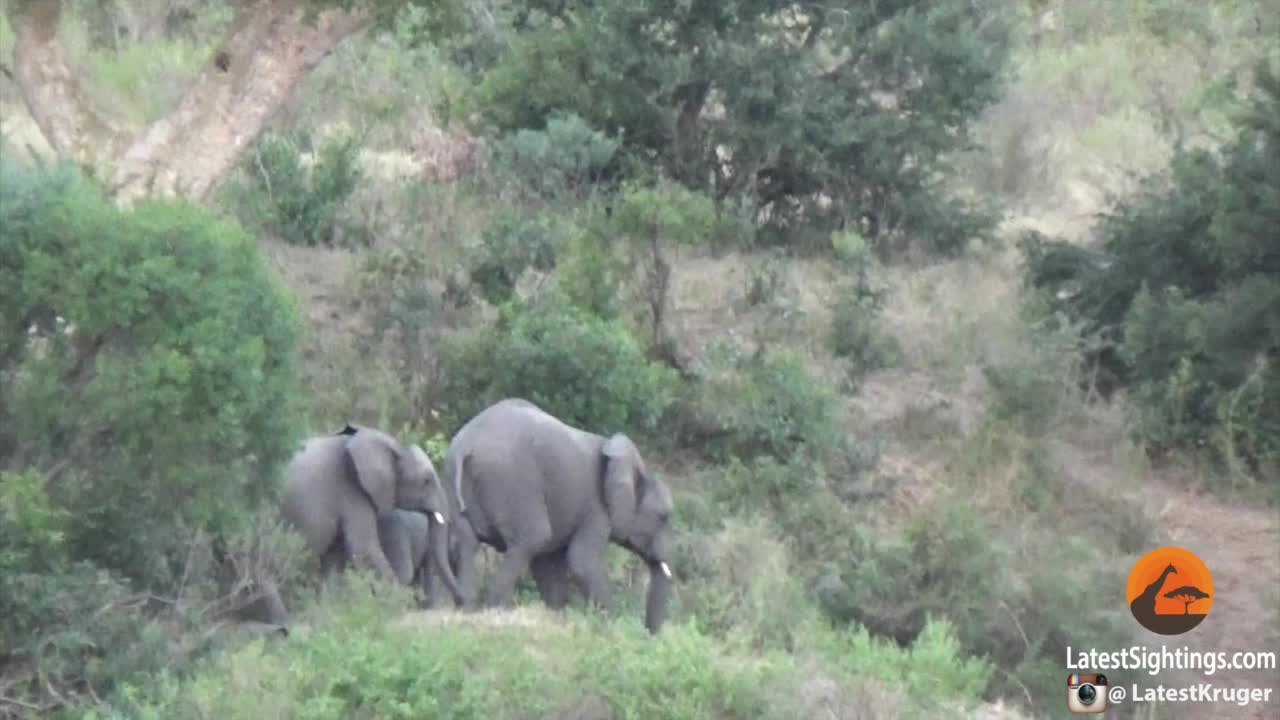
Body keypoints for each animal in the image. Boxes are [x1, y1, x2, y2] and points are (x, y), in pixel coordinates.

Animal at [280, 423, 464, 605]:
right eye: (426, 481)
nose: (462, 600)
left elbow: (334, 558)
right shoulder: (351, 489)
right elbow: (364, 548)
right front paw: (394, 604)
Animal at [440, 398, 675, 634]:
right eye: (663, 517)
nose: (649, 635)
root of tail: (466, 444)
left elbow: (549, 566)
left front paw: (557, 617)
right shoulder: (597, 510)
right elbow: (581, 562)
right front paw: (611, 625)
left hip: (453, 482)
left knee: (468, 544)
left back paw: (467, 609)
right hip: (511, 481)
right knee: (533, 538)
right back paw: (499, 612)